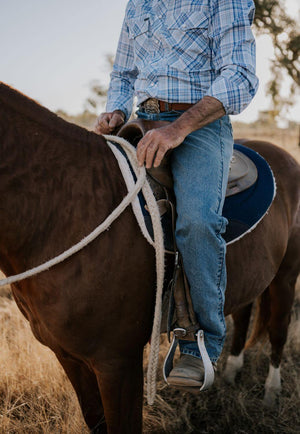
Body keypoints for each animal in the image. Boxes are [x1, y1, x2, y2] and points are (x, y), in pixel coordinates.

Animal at [0, 83, 300, 432]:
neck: (62, 210)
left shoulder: (117, 362)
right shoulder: (68, 356)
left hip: (285, 277)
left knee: (278, 331)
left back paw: (270, 395)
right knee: (241, 316)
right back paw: (230, 373)